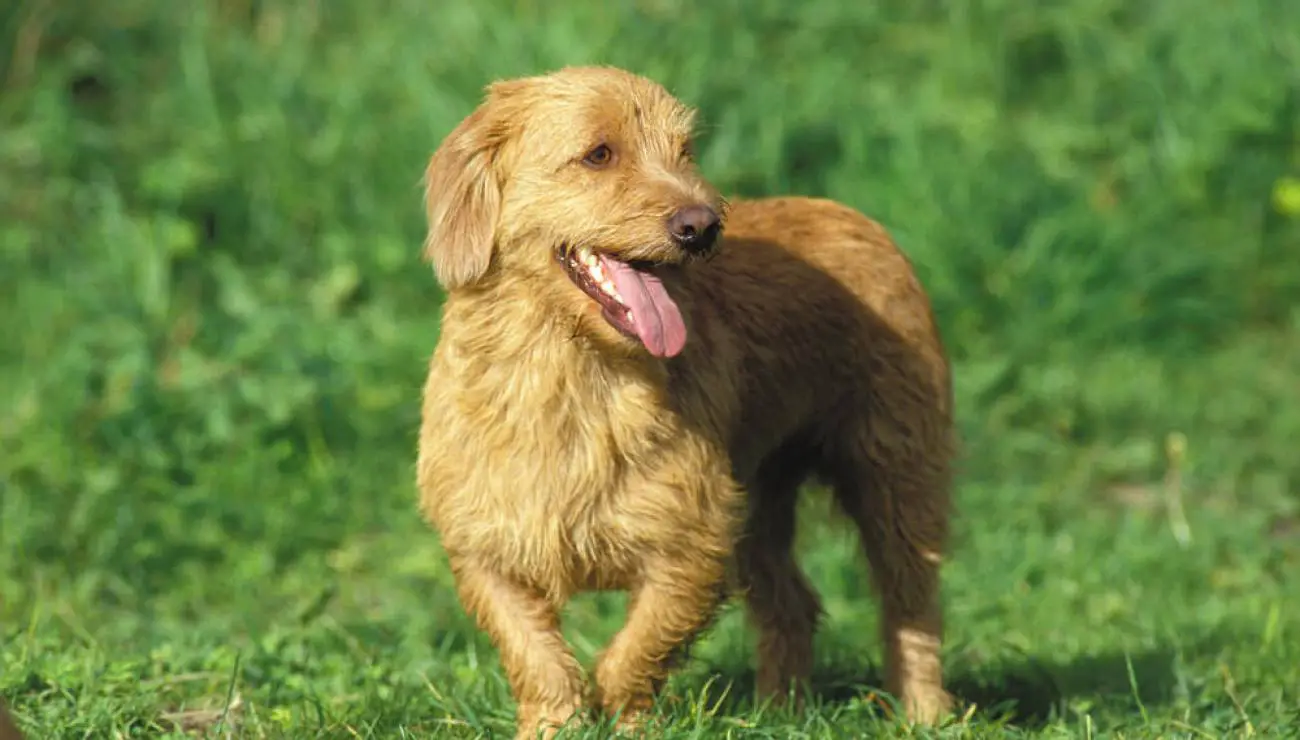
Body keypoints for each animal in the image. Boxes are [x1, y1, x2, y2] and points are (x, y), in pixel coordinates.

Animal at [416, 66, 956, 733]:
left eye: (685, 152)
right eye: (599, 154)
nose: (701, 226)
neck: (572, 374)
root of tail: (853, 216)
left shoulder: (694, 542)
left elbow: (634, 654)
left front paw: (628, 721)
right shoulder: (486, 551)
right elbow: (538, 660)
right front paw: (553, 726)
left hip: (893, 478)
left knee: (910, 604)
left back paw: (926, 714)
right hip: (761, 503)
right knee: (793, 603)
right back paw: (778, 713)